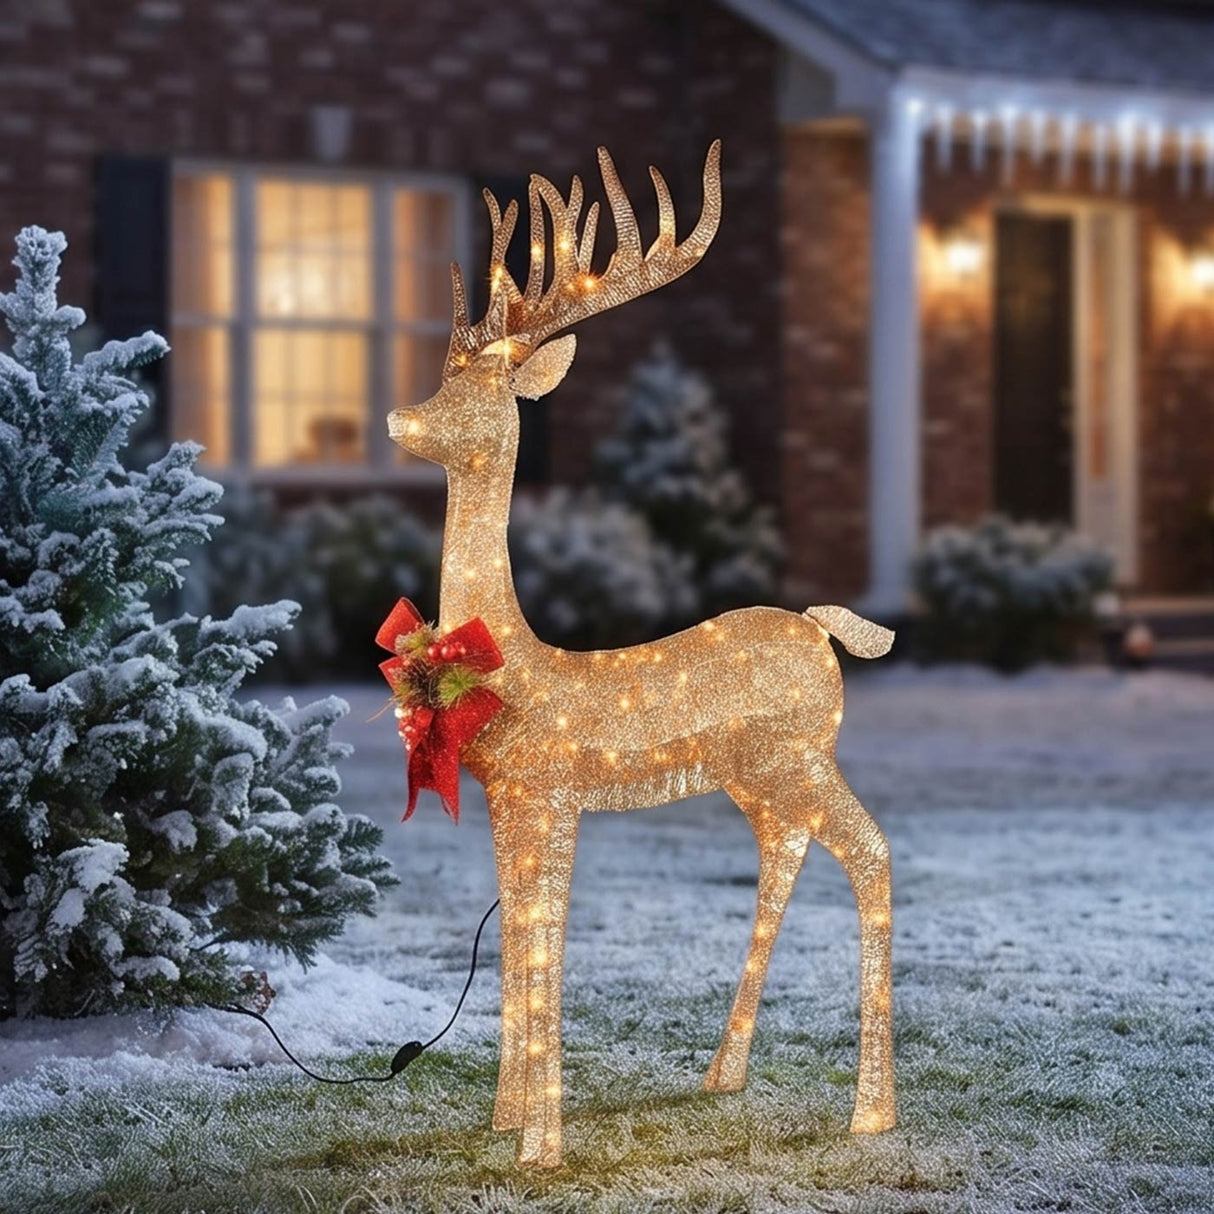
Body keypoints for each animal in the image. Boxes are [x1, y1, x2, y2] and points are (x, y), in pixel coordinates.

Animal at [387, 140, 896, 1168]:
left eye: (480, 391)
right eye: (441, 376)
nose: (398, 419)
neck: (517, 666)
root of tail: (822, 628)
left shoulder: (553, 792)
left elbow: (546, 938)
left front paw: (541, 1146)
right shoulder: (511, 798)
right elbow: (519, 938)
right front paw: (507, 1119)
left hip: (801, 756)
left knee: (873, 854)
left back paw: (872, 1114)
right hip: (759, 776)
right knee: (786, 857)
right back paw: (724, 1075)